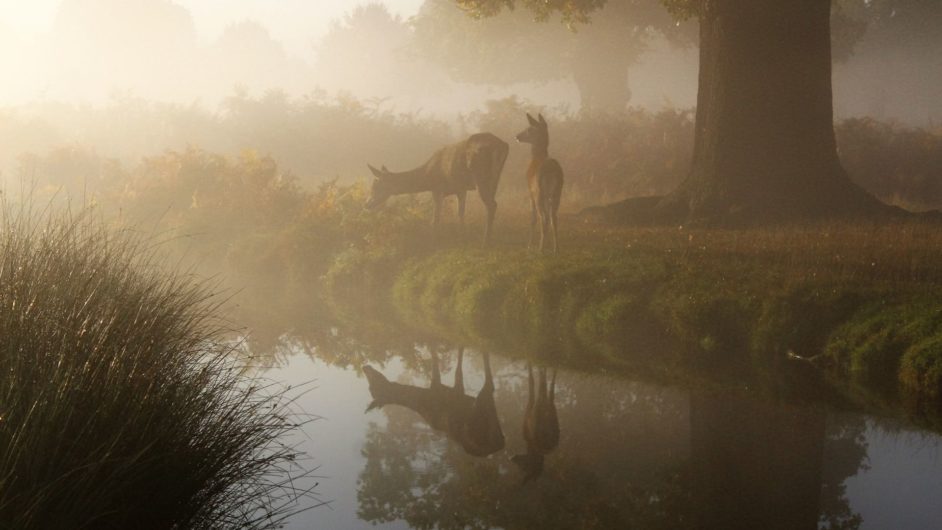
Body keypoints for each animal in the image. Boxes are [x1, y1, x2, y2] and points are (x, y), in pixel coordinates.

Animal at [364, 346, 508, 454]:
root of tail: (501, 443)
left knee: (489, 384)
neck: (423, 399)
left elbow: (445, 362)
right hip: (483, 409)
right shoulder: (452, 392)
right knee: (490, 386)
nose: (365, 367)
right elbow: (455, 368)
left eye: (374, 385)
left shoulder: (446, 390)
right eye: (371, 388)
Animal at [366, 134, 508, 245]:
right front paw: (462, 235)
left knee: (491, 204)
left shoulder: (437, 188)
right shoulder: (461, 188)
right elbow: (460, 213)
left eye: (376, 186)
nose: (367, 203)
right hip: (496, 177)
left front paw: (433, 240)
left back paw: (486, 241)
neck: (427, 177)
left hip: (480, 175)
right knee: (493, 203)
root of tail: (502, 146)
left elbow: (435, 218)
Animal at [520, 112, 564, 253]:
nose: (517, 136)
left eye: (529, 129)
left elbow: (533, 218)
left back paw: (541, 248)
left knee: (543, 218)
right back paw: (556, 248)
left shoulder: (530, 192)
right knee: (554, 218)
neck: (536, 157)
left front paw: (529, 245)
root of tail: (551, 170)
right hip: (557, 192)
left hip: (539, 192)